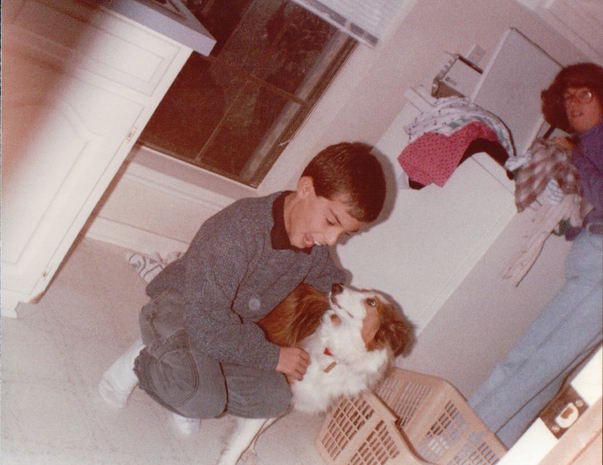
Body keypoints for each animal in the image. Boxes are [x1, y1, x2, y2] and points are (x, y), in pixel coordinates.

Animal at [216, 283, 411, 465]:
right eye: (362, 291)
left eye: (371, 302)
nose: (336, 286)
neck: (336, 353)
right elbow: (244, 437)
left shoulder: (292, 397)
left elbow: (259, 427)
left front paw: (248, 450)